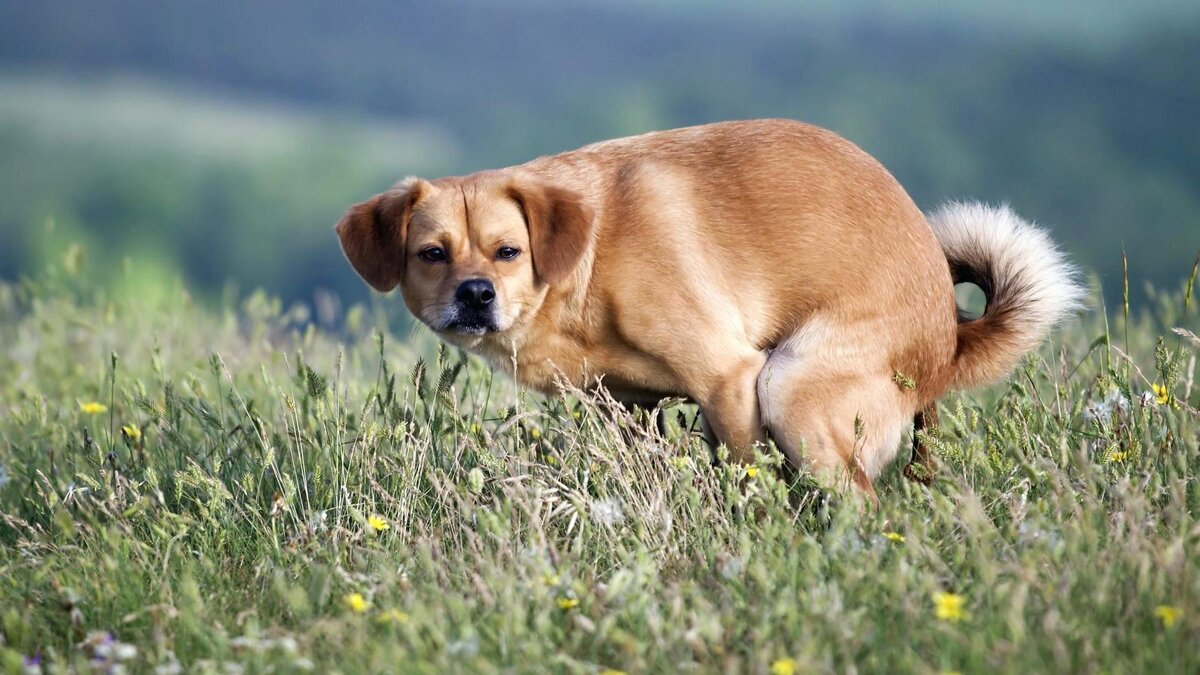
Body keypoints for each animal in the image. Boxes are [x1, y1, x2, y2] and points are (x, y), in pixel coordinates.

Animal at [333, 118, 1084, 492]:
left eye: (507, 251)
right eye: (433, 254)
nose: (476, 293)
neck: (585, 262)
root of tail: (949, 341)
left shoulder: (729, 378)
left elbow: (747, 469)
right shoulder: (624, 405)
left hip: (791, 386)